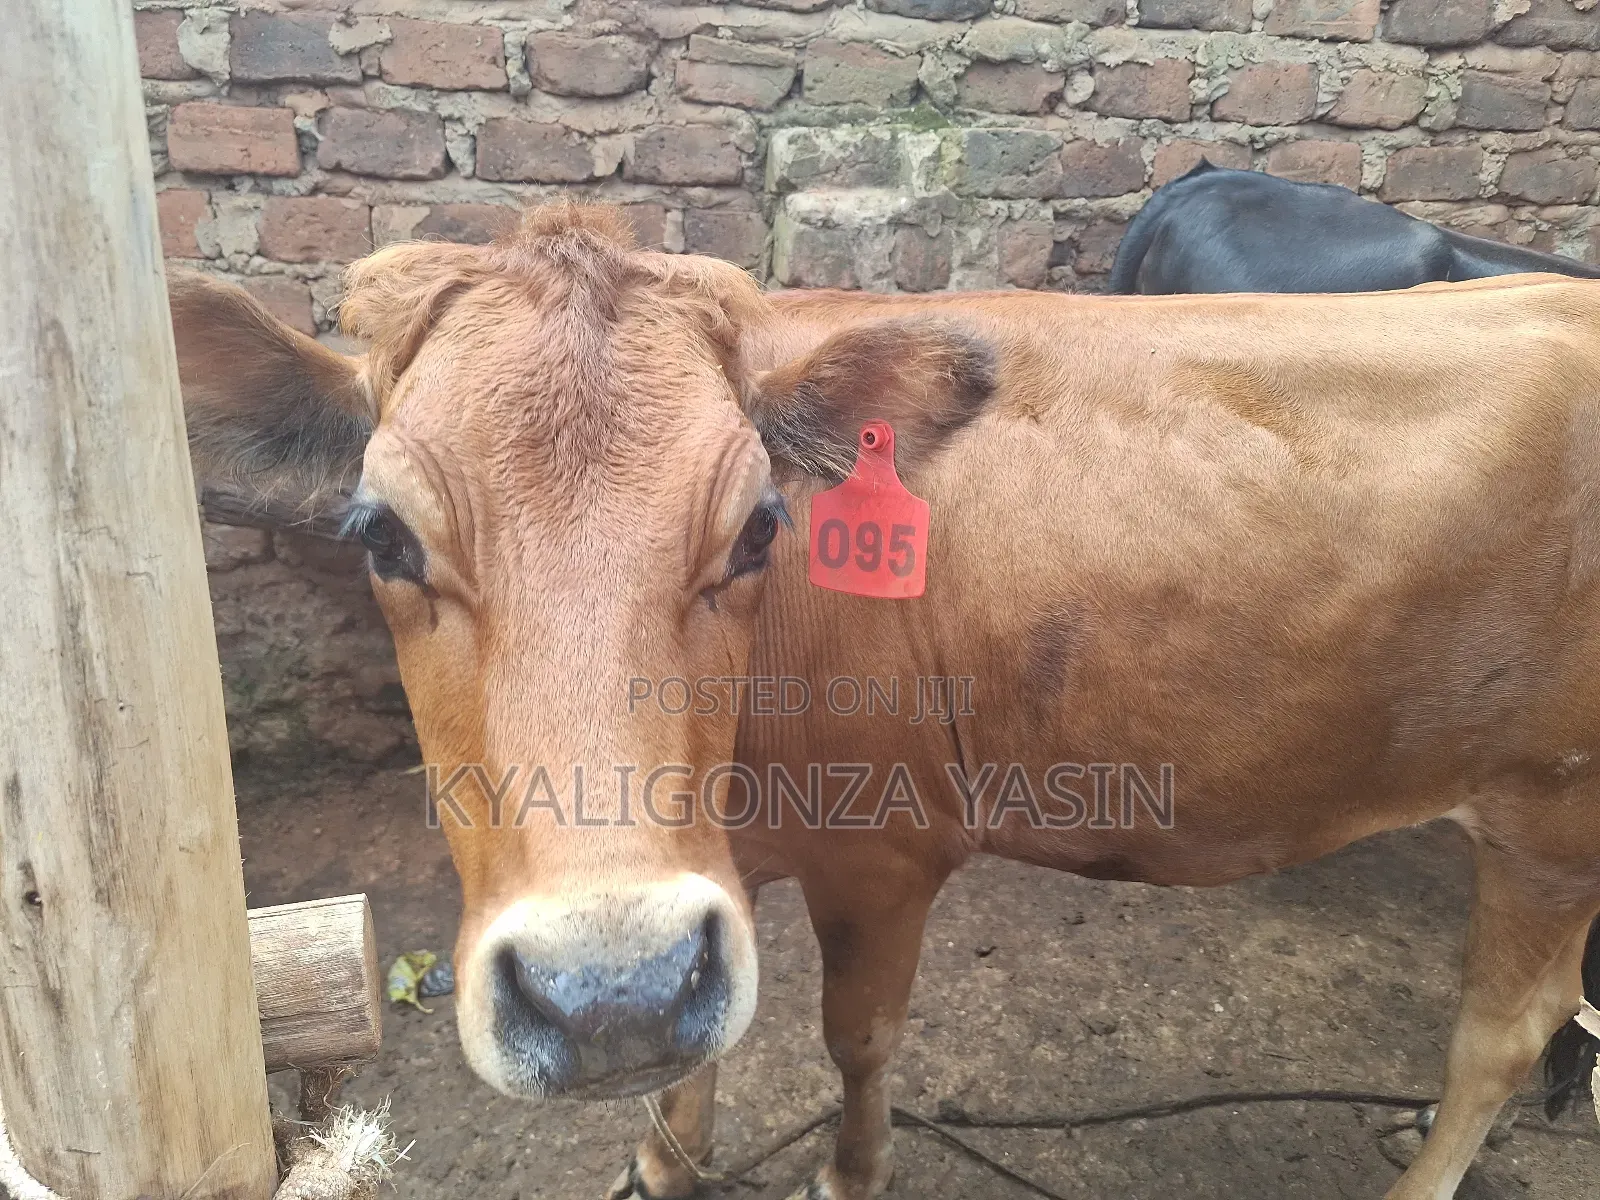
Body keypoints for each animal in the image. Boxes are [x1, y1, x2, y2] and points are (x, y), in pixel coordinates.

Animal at [168, 204, 1600, 1200]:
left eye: (759, 525)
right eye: (381, 533)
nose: (605, 993)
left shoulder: (889, 851)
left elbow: (855, 1039)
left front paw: (847, 1169)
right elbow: (708, 1040)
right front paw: (666, 1156)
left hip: (1552, 815)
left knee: (1503, 1036)